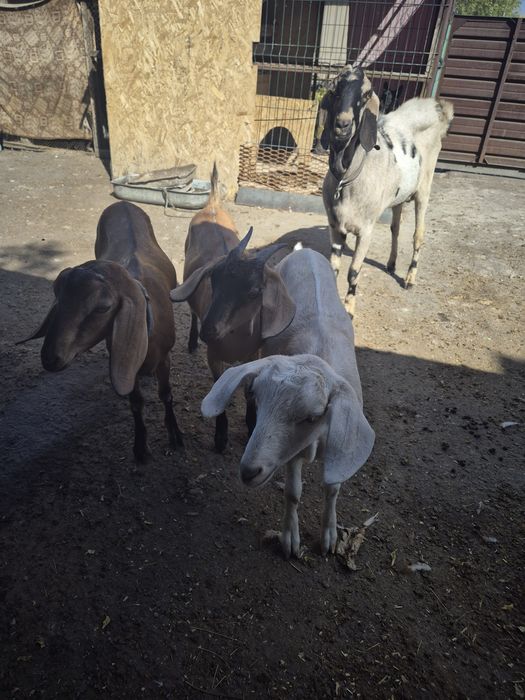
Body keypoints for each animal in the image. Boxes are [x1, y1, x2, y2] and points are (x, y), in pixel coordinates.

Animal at [18, 201, 184, 462]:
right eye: (57, 294)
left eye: (103, 307)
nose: (50, 357)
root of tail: (122, 203)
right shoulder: (124, 358)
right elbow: (136, 402)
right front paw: (140, 447)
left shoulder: (164, 356)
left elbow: (166, 394)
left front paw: (175, 434)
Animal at [170, 174, 293, 452]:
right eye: (213, 278)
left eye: (255, 291)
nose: (209, 331)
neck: (236, 340)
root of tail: (213, 203)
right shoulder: (214, 355)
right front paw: (220, 437)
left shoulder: (253, 355)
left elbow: (250, 390)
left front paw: (251, 425)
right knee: (192, 311)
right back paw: (192, 341)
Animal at [201, 248, 375, 559]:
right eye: (258, 399)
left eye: (312, 416)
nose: (248, 471)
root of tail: (306, 251)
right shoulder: (292, 454)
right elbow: (293, 493)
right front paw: (290, 539)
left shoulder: (339, 438)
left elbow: (332, 489)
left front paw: (329, 536)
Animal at [320, 65, 453, 316]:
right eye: (333, 90)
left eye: (365, 94)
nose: (342, 125)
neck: (347, 180)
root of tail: (436, 109)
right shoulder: (335, 227)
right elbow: (334, 268)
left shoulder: (366, 230)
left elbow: (353, 271)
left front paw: (349, 308)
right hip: (399, 196)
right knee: (395, 228)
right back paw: (392, 264)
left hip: (424, 187)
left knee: (418, 234)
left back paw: (410, 278)